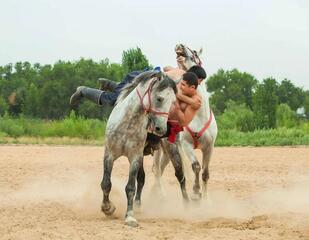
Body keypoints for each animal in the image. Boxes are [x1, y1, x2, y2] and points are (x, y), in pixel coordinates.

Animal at [101, 71, 176, 227]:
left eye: (173, 102)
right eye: (159, 98)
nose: (162, 129)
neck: (128, 123)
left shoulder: (135, 157)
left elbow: (131, 187)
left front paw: (130, 216)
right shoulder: (109, 155)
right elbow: (106, 183)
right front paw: (107, 208)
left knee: (141, 180)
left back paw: (138, 205)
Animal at [152, 43, 217, 201]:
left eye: (194, 52)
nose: (179, 45)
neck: (199, 116)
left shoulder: (209, 147)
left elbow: (205, 173)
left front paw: (206, 200)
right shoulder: (186, 145)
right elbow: (196, 166)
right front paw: (196, 190)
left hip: (167, 152)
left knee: (161, 169)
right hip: (161, 149)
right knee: (157, 171)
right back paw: (161, 196)